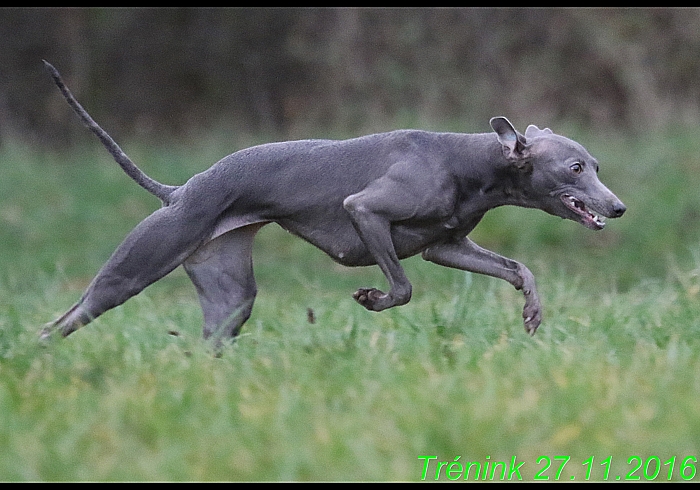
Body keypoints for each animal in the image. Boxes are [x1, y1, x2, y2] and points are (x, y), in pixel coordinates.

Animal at [39, 61, 624, 342]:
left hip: (230, 297)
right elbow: (403, 288)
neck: (470, 161)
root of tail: (179, 191)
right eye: (574, 169)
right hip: (135, 267)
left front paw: (532, 311)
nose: (618, 208)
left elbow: (519, 267)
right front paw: (372, 298)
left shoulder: (447, 246)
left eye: (596, 165)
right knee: (62, 321)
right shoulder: (365, 211)